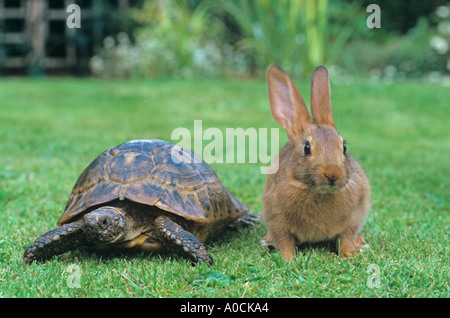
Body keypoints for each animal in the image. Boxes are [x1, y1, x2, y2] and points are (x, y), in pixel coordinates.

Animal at [262, 65, 370, 260]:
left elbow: (346, 238)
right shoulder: (277, 220)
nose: (333, 174)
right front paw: (287, 260)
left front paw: (350, 255)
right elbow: (284, 242)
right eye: (306, 148)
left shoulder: (353, 219)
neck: (318, 192)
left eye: (344, 147)